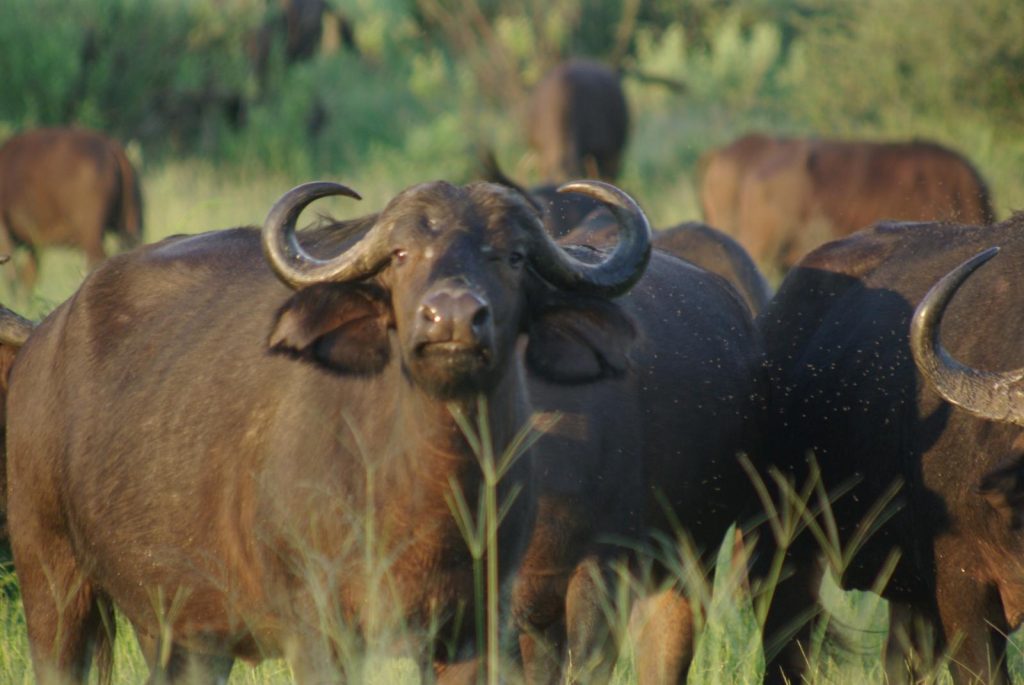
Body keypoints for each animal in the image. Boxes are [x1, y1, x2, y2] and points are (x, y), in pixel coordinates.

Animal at [6, 178, 647, 683]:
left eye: (513, 256)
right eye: (401, 254)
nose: (454, 318)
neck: (425, 493)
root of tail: (42, 341)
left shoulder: (472, 631)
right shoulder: (319, 631)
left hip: (179, 630)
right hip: (52, 583)